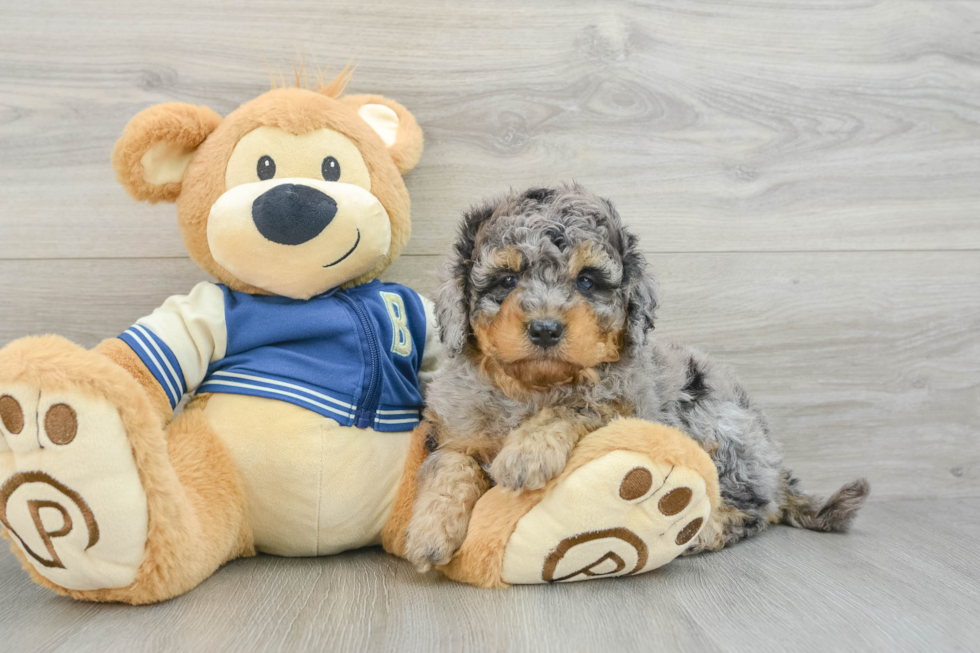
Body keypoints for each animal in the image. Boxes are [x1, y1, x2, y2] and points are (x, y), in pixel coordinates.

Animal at [402, 182, 868, 572]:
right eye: (507, 279)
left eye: (587, 281)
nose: (545, 329)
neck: (534, 387)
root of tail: (776, 466)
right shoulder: (453, 429)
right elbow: (450, 466)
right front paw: (429, 532)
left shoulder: (626, 405)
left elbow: (576, 405)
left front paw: (527, 454)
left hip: (716, 423)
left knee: (754, 507)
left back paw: (702, 532)